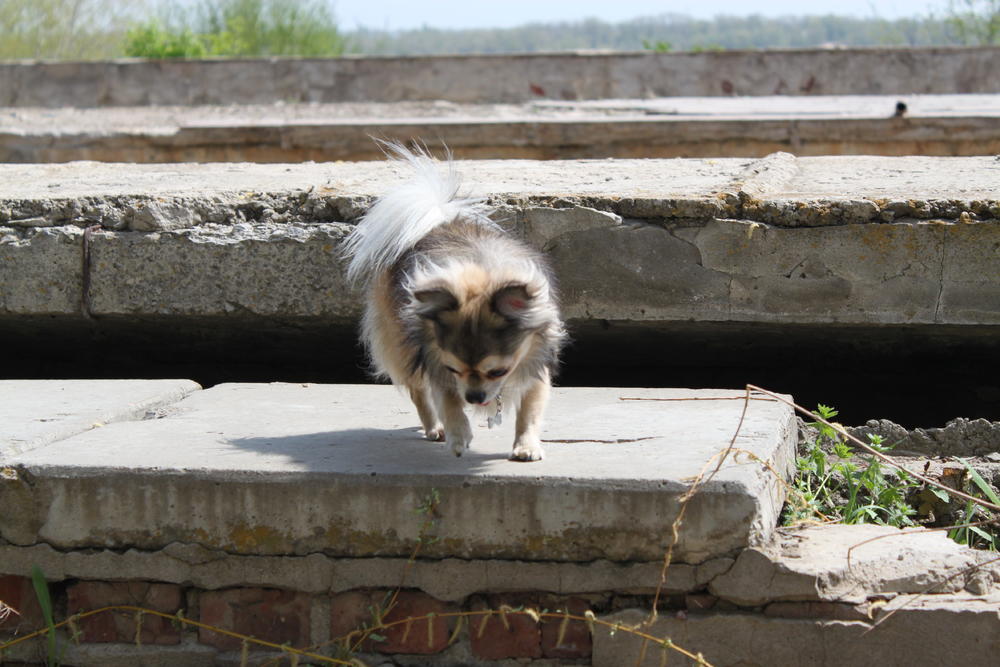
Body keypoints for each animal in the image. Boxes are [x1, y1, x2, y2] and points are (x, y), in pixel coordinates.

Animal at [343, 144, 566, 461]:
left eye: (498, 372)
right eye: (454, 370)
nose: (473, 397)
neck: (481, 272)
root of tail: (435, 219)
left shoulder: (536, 364)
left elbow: (530, 410)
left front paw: (526, 445)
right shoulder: (436, 363)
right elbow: (448, 401)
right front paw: (458, 435)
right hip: (401, 344)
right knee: (418, 392)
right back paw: (435, 428)